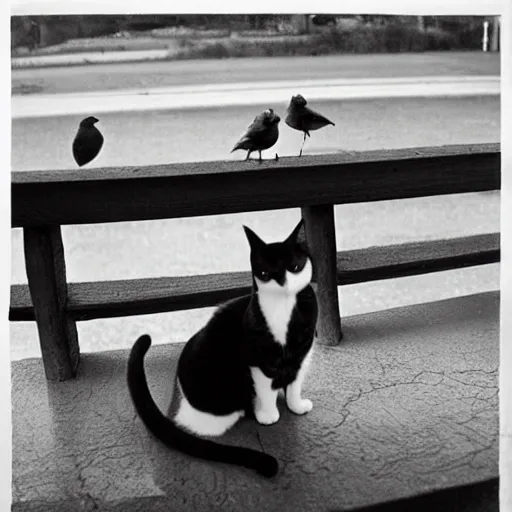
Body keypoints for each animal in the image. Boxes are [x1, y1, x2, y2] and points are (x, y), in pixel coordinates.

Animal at [126, 218, 318, 478]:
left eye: (294, 267)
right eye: (266, 273)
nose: (282, 282)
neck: (285, 313)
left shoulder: (301, 356)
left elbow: (295, 385)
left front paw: (296, 406)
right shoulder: (258, 361)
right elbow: (266, 391)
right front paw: (268, 415)